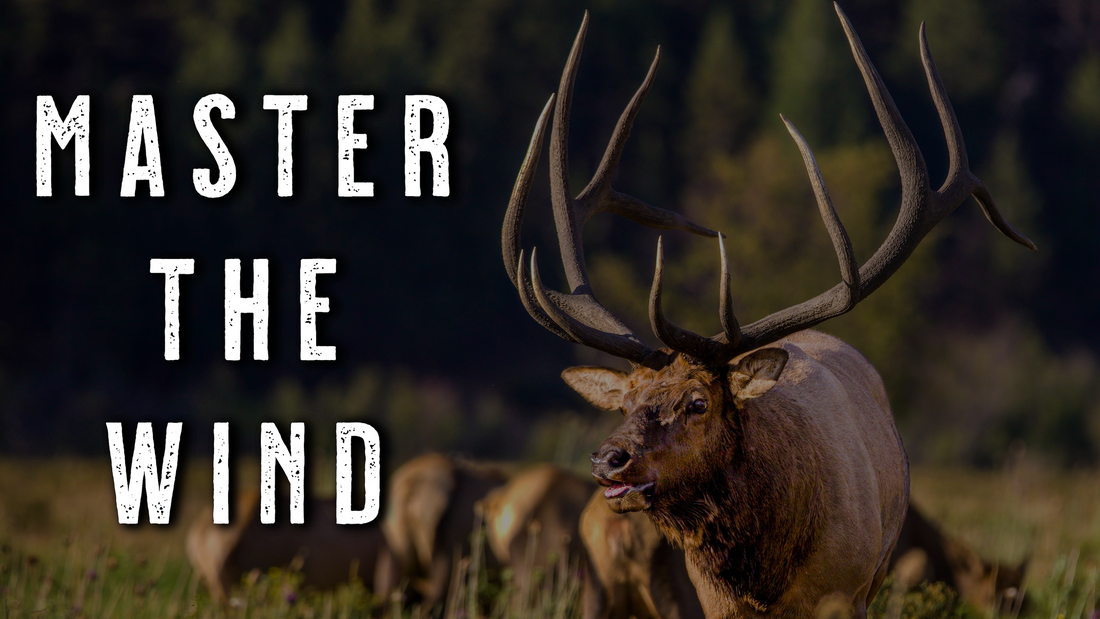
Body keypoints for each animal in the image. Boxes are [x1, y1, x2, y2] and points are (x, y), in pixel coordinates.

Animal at [501, 5, 1035, 618]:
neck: (764, 577)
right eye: (625, 402)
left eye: (698, 402)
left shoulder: (847, 590)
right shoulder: (713, 601)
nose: (609, 459)